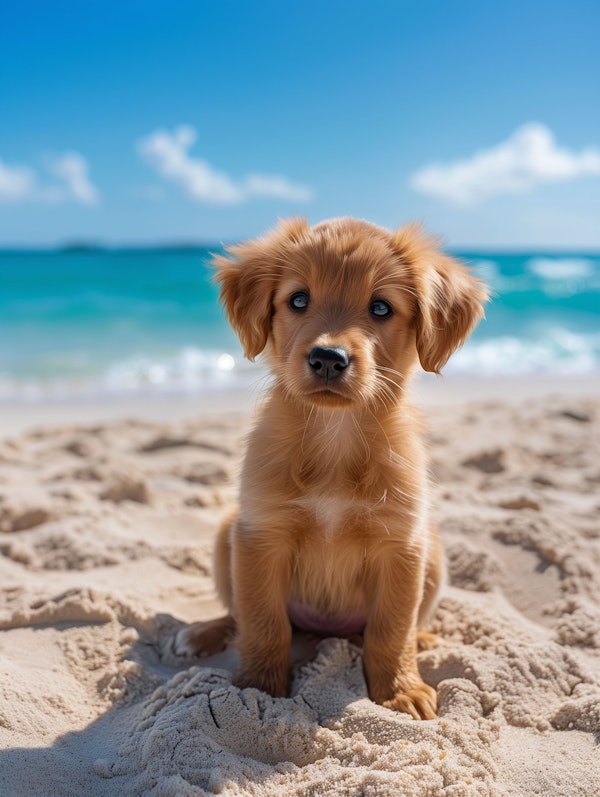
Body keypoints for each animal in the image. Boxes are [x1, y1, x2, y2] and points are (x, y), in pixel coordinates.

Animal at [173, 218, 488, 720]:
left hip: (434, 554)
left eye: (380, 307)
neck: (335, 436)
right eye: (299, 300)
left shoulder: (401, 543)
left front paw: (399, 690)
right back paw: (203, 632)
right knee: (238, 615)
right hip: (227, 535)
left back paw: (422, 640)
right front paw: (258, 688)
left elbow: (391, 629)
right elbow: (263, 622)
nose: (327, 359)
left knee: (395, 626)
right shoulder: (261, 533)